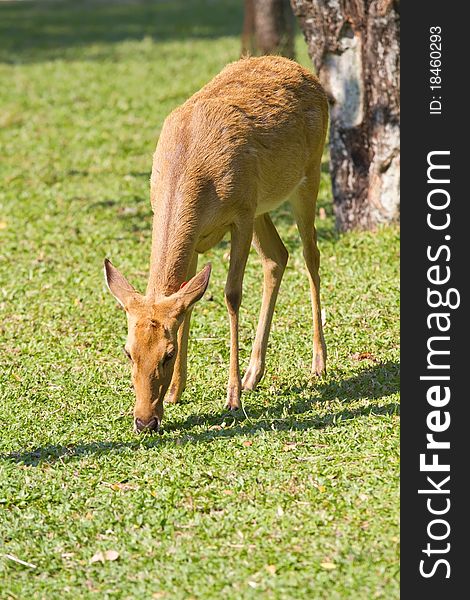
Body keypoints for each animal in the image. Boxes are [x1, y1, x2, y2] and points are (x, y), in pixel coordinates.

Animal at [104, 55, 328, 432]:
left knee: (311, 256)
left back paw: (318, 363)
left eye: (167, 354)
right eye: (127, 351)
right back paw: (254, 374)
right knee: (277, 256)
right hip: (261, 205)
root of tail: (304, 72)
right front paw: (176, 392)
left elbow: (231, 295)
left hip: (306, 177)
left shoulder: (240, 216)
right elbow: (187, 302)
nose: (144, 421)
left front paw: (232, 399)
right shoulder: (199, 236)